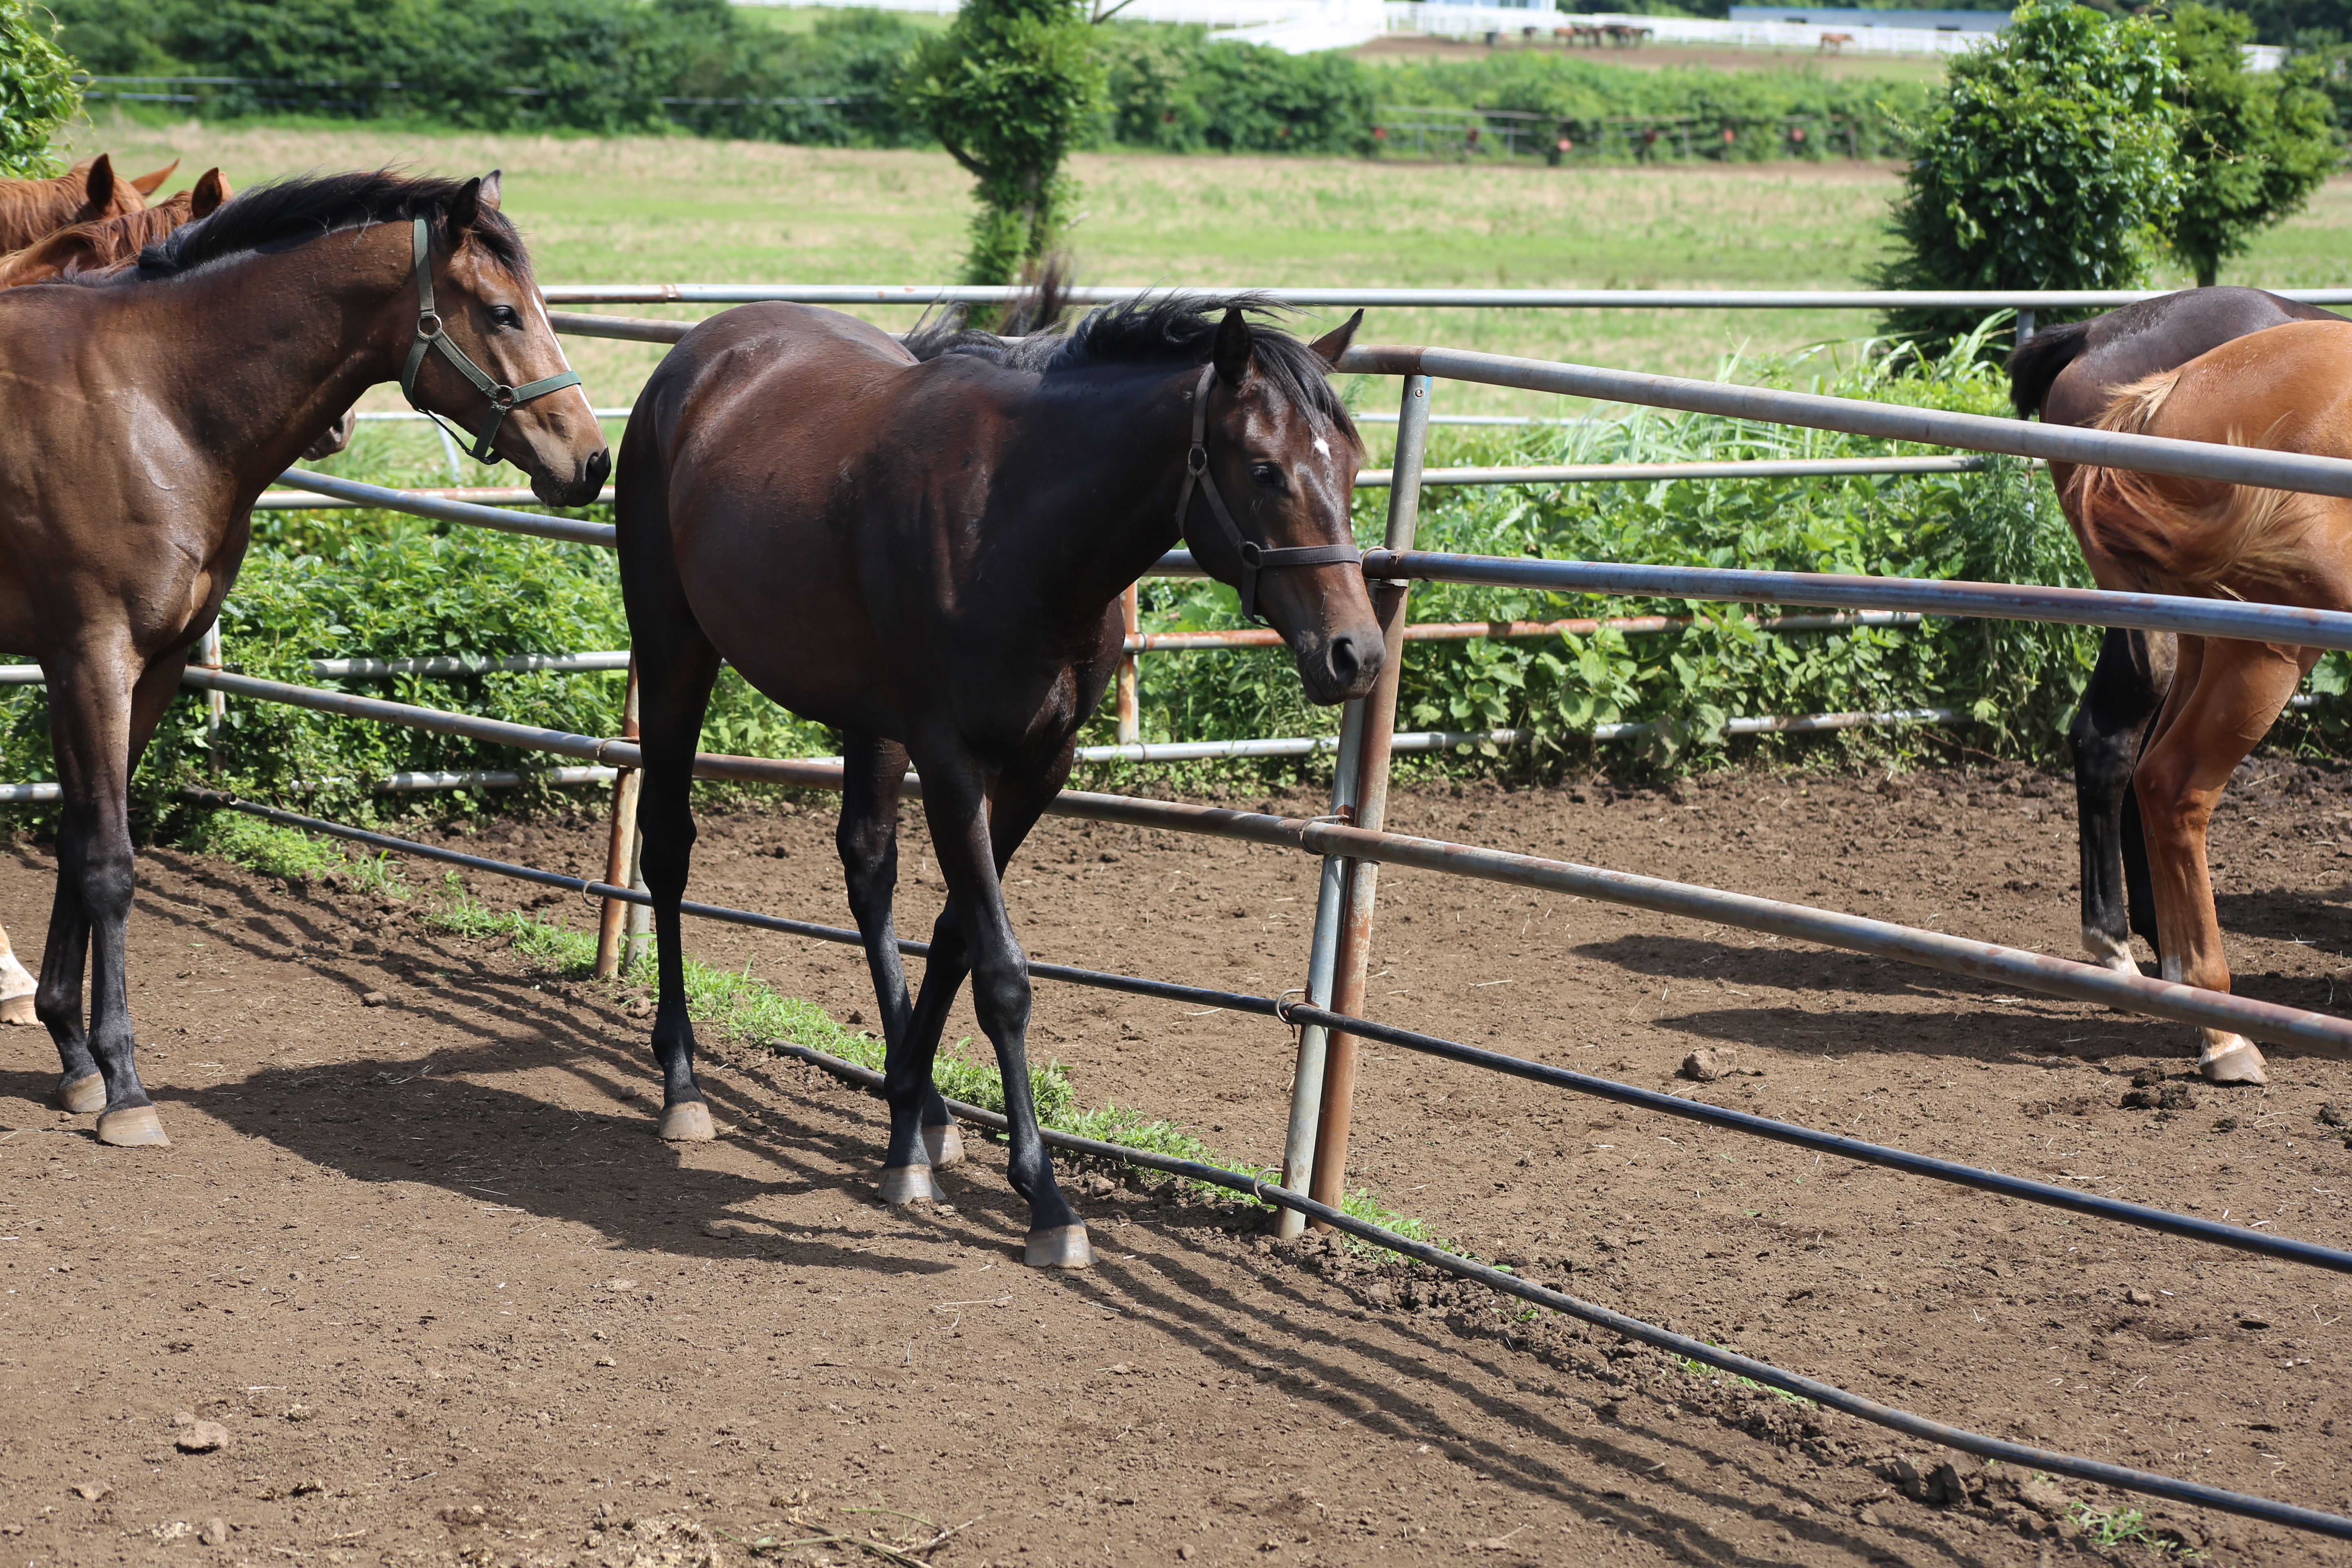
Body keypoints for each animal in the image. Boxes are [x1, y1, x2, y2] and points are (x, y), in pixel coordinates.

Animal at [2, 172, 607, 1147]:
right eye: (503, 312)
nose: (591, 460)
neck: (149, 402)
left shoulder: (138, 666)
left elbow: (80, 836)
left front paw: (74, 1057)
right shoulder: (94, 658)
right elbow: (110, 864)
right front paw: (125, 1085)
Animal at [616, 294, 1383, 1269]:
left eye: (1352, 467)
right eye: (1264, 469)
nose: (1356, 655)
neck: (1017, 527)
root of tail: (701, 353)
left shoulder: (1037, 767)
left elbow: (954, 939)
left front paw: (908, 1119)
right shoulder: (953, 759)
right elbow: (1003, 975)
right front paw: (1045, 1198)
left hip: (869, 719)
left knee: (867, 867)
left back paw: (922, 1116)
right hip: (674, 646)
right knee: (669, 848)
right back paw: (681, 1083)